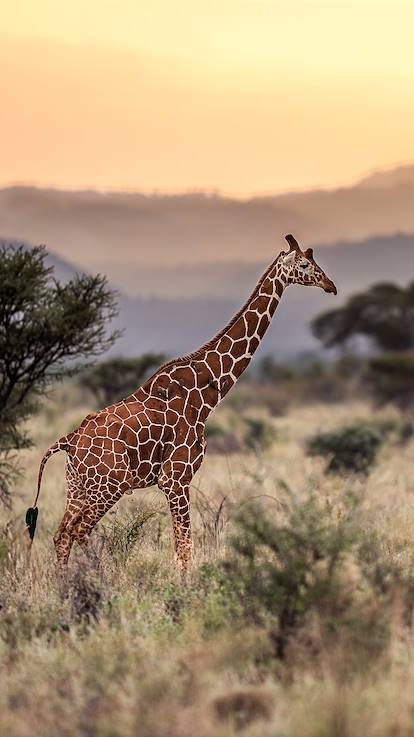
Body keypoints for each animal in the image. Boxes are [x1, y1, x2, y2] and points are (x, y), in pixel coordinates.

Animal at [26, 234, 337, 570]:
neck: (207, 395)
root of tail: (70, 440)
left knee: (61, 535)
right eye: (304, 265)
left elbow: (182, 548)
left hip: (78, 486)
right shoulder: (175, 478)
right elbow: (185, 550)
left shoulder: (174, 481)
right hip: (108, 486)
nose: (330, 285)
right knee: (78, 531)